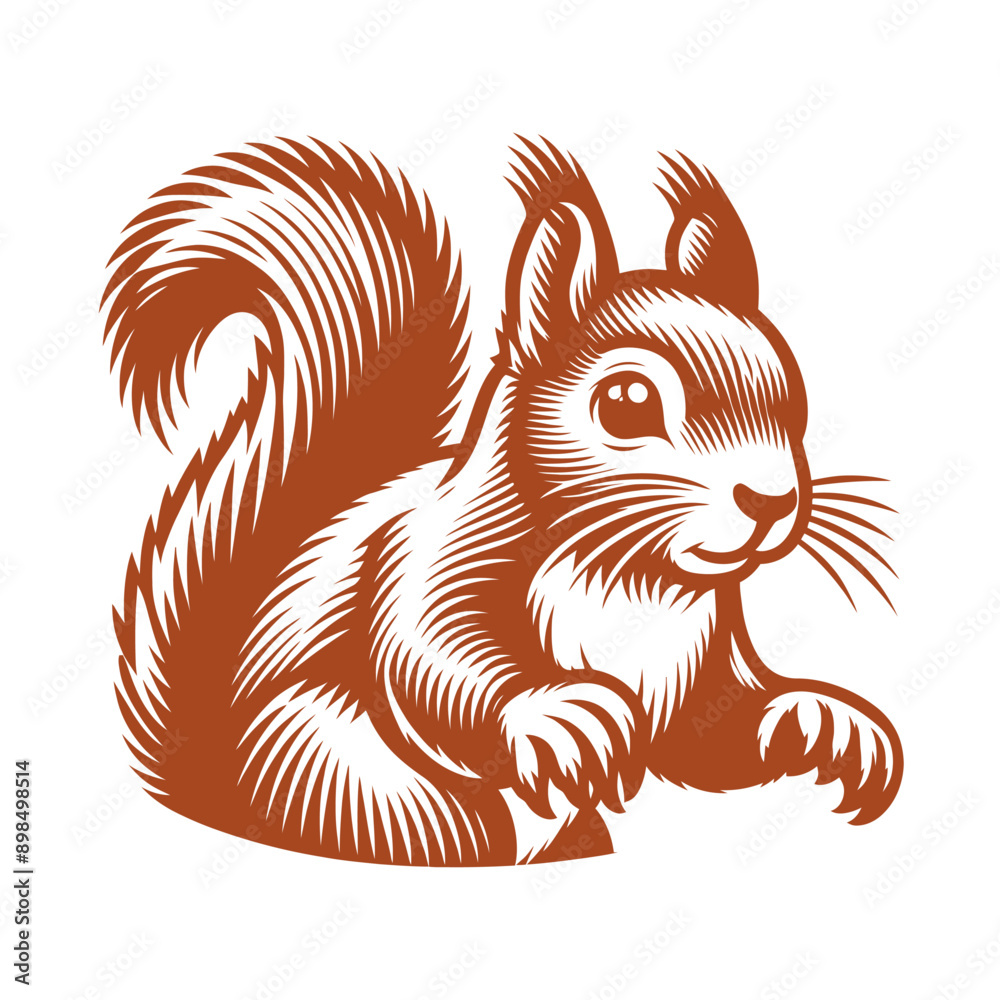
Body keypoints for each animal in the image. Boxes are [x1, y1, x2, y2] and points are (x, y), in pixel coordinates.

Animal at [102, 136, 903, 866]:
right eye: (627, 402)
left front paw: (822, 721)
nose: (770, 501)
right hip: (341, 772)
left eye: (791, 386)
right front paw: (559, 716)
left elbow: (711, 734)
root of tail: (218, 791)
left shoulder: (698, 656)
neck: (628, 573)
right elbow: (433, 653)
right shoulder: (427, 559)